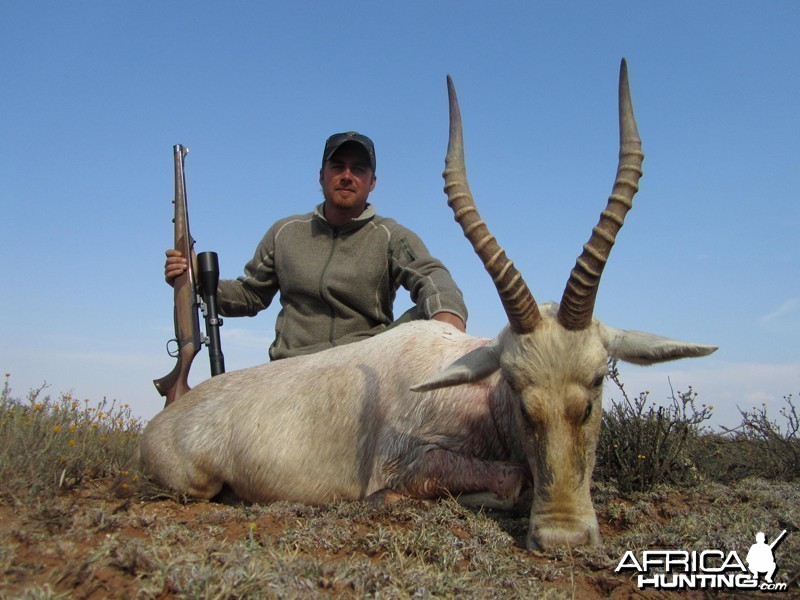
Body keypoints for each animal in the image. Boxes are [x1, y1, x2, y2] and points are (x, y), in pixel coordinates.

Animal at [139, 59, 720, 548]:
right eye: (516, 388)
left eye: (599, 382)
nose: (562, 538)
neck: (480, 398)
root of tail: (165, 420)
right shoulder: (408, 463)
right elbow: (511, 478)